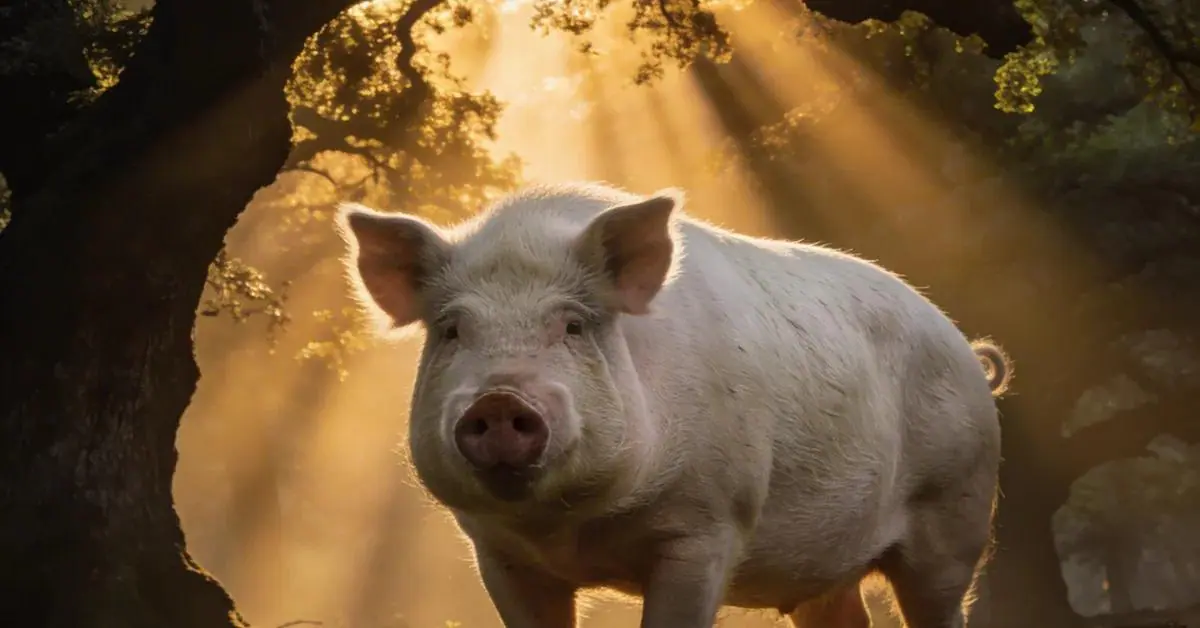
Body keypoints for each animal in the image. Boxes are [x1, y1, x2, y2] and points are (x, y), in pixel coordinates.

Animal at [335, 182, 1012, 628]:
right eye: (452, 330)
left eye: (573, 325)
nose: (500, 397)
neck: (572, 528)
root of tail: (966, 349)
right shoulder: (498, 553)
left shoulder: (707, 525)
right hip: (830, 567)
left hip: (956, 515)